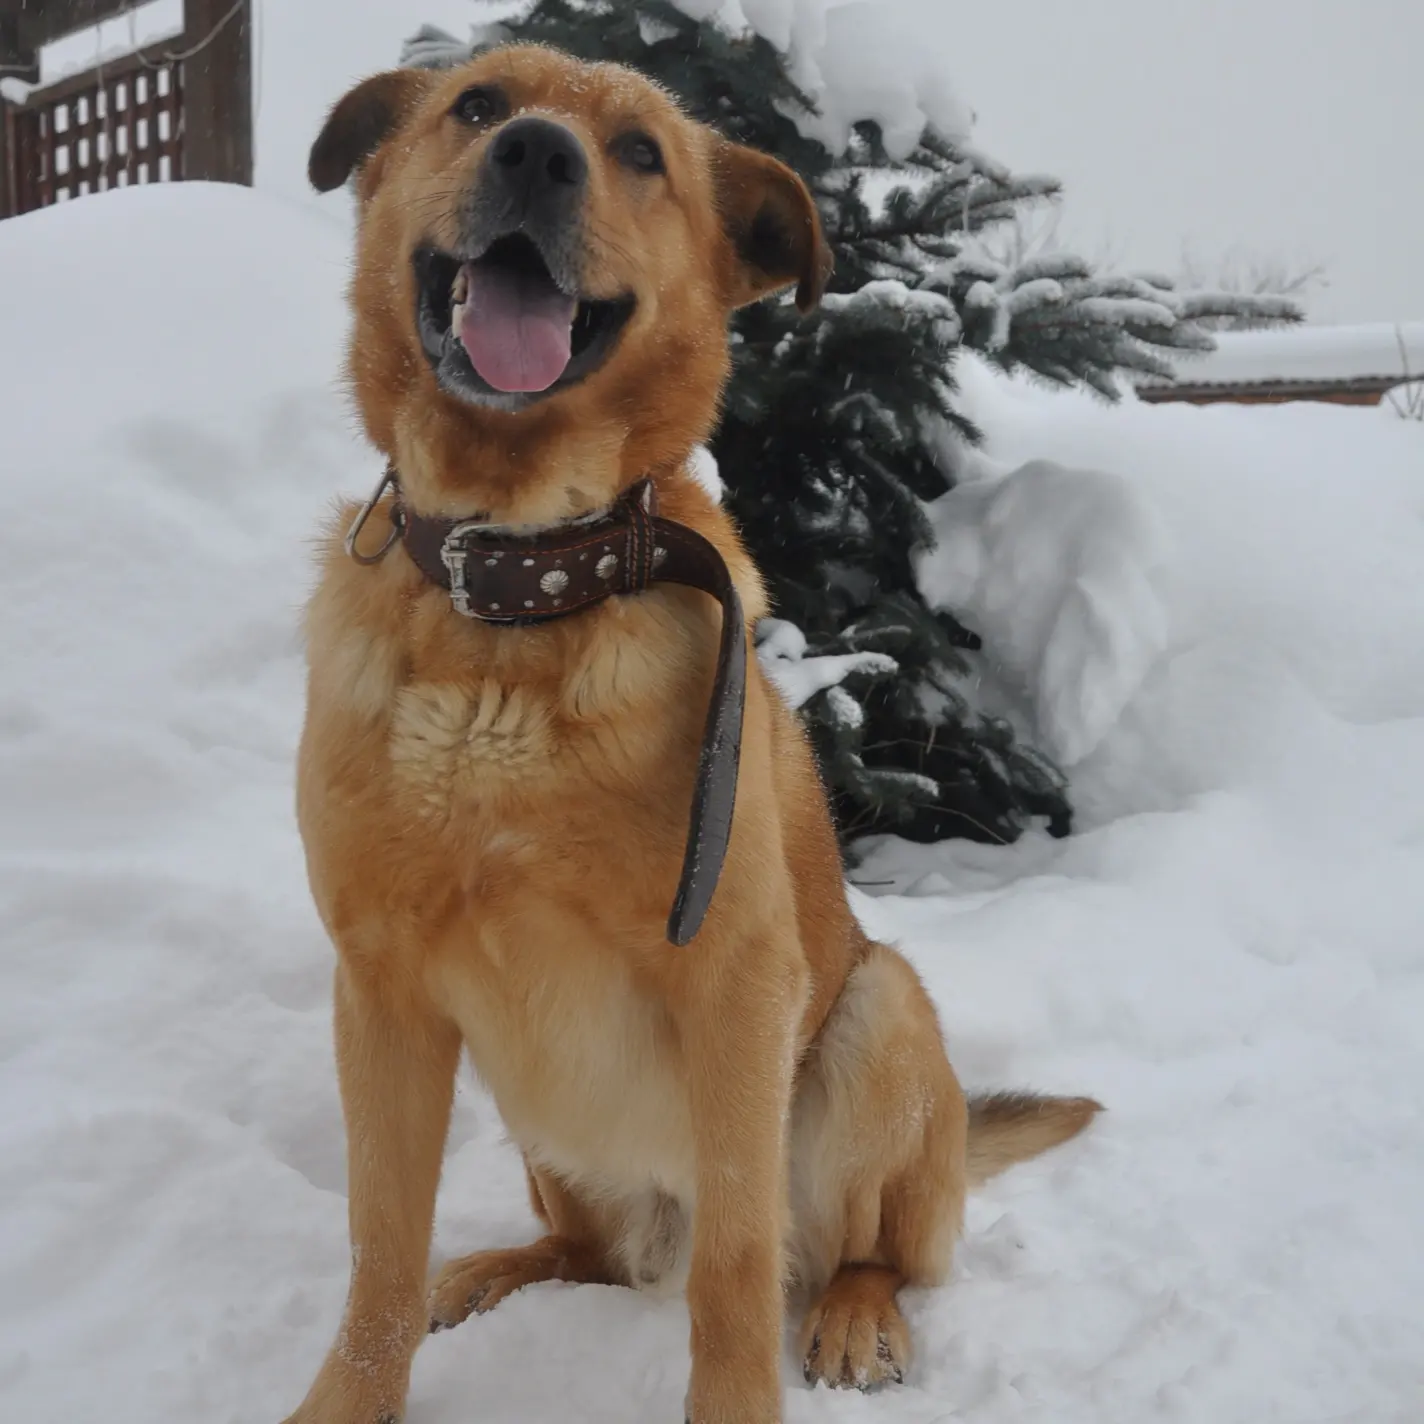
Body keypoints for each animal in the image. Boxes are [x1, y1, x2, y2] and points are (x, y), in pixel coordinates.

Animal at [280, 44, 1099, 1424]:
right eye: (476, 107)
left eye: (640, 153)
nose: (536, 153)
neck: (518, 585)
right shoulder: (380, 994)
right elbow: (378, 1253)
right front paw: (350, 1393)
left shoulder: (735, 983)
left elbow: (735, 1265)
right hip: (538, 1119)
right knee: (585, 1253)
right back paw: (494, 1267)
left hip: (873, 1015)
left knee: (850, 1249)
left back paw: (853, 1315)